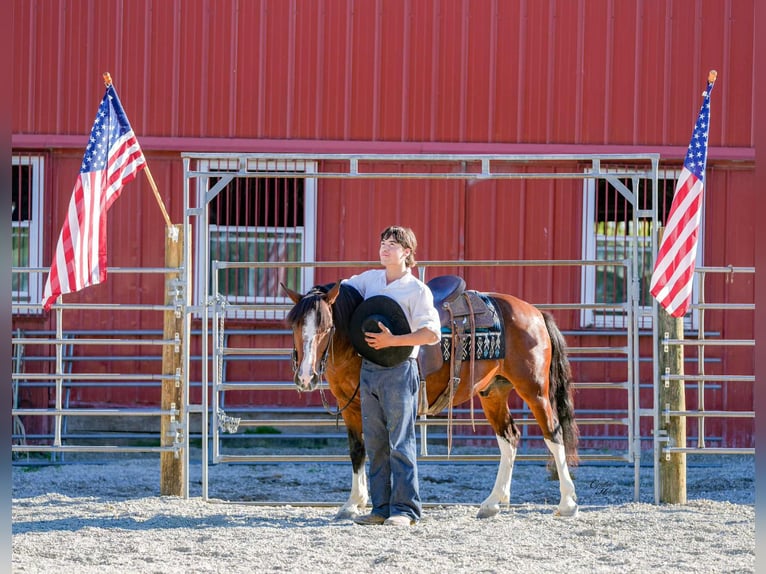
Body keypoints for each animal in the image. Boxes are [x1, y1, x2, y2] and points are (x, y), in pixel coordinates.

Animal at [281, 278, 579, 519]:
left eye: (326, 327)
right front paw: (353, 503)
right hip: (493, 392)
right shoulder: (351, 408)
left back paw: (567, 503)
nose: (305, 377)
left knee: (553, 434)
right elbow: (358, 451)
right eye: (294, 325)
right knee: (509, 438)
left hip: (534, 390)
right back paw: (492, 503)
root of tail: (535, 313)